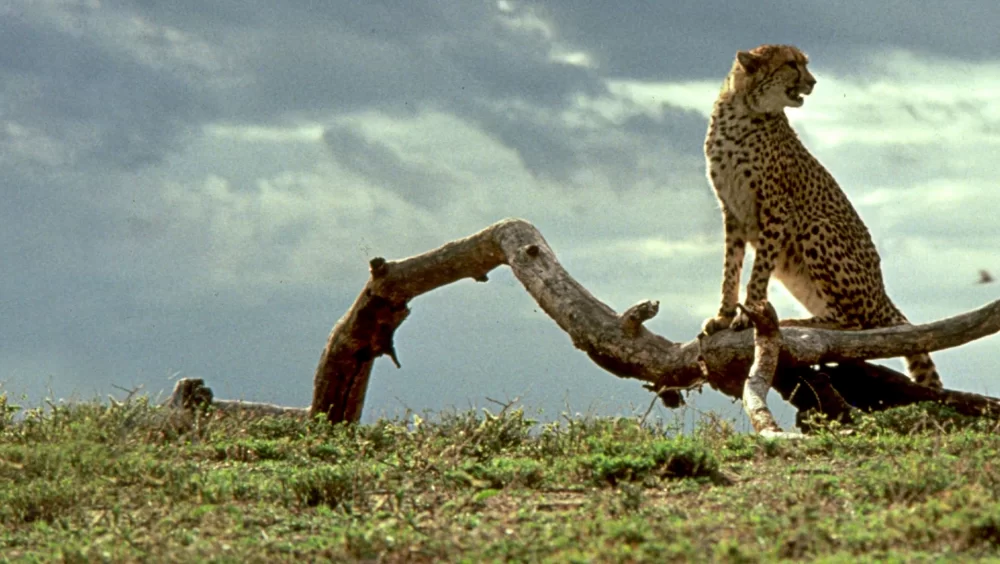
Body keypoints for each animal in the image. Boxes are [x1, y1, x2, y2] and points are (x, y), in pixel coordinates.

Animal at [699, 43, 942, 389]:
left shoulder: (775, 207)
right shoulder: (731, 211)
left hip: (818, 228)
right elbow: (730, 269)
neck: (744, 111)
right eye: (791, 64)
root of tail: (882, 293)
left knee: (857, 325)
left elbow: (758, 272)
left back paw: (797, 323)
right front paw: (723, 316)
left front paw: (747, 316)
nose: (812, 82)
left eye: (804, 64)